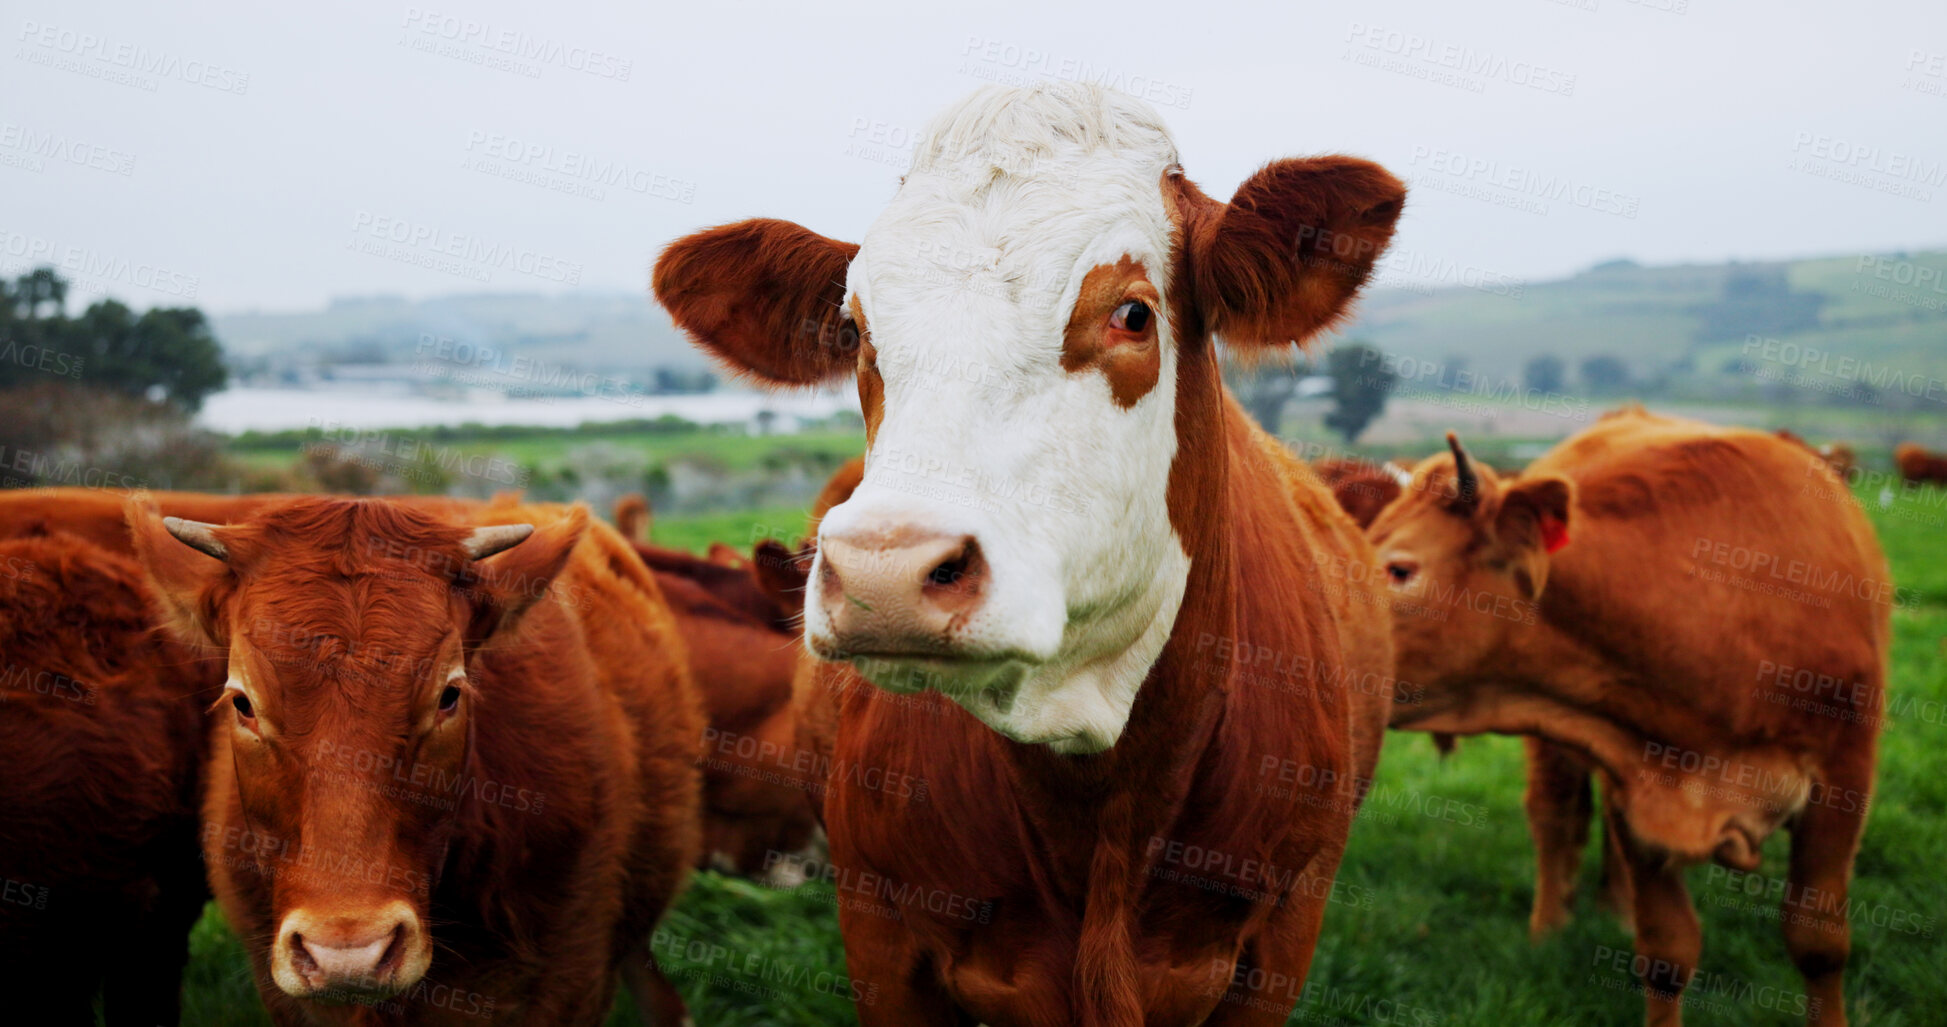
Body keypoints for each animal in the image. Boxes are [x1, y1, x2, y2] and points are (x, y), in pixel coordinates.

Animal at [1368, 407, 1887, 1026]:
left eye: (1399, 570)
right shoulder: (1637, 785)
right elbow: (1666, 952)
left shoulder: (1843, 781)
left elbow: (1818, 943)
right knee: (1554, 815)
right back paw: (1555, 926)